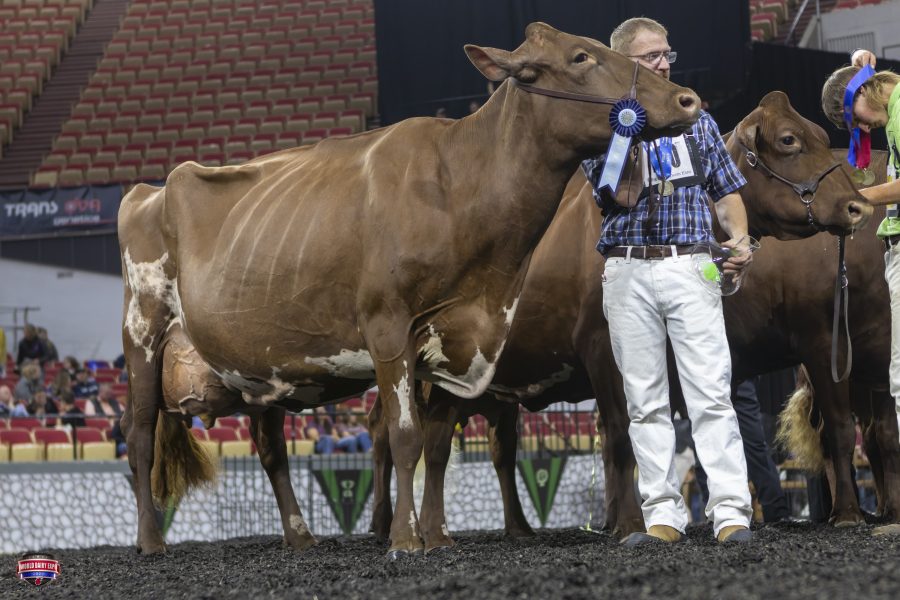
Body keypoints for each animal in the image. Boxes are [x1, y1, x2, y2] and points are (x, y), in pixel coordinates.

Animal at [118, 22, 702, 556]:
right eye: (581, 56)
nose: (687, 98)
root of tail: (150, 188)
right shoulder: (388, 326)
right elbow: (406, 436)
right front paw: (404, 539)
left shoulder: (453, 335)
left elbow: (431, 443)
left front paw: (428, 533)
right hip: (142, 332)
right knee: (139, 435)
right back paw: (150, 541)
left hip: (255, 364)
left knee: (269, 447)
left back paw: (300, 536)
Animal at [368, 91, 875, 549]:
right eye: (789, 140)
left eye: (821, 135)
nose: (857, 207)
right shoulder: (602, 349)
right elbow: (620, 437)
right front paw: (632, 523)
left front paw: (629, 518)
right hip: (435, 376)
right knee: (424, 443)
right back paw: (425, 533)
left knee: (479, 446)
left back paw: (494, 530)